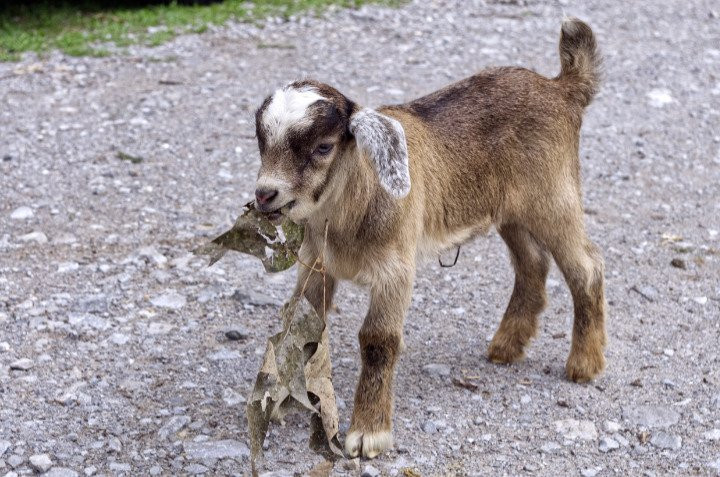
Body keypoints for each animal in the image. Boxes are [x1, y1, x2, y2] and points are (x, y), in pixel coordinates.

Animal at [250, 18, 604, 458]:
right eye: (262, 143)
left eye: (323, 147)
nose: (266, 194)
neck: (355, 198)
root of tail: (562, 87)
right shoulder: (317, 262)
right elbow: (301, 327)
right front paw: (282, 399)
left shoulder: (395, 268)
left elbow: (378, 341)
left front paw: (369, 433)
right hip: (509, 210)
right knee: (532, 262)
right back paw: (506, 346)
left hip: (554, 196)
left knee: (585, 266)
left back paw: (585, 364)